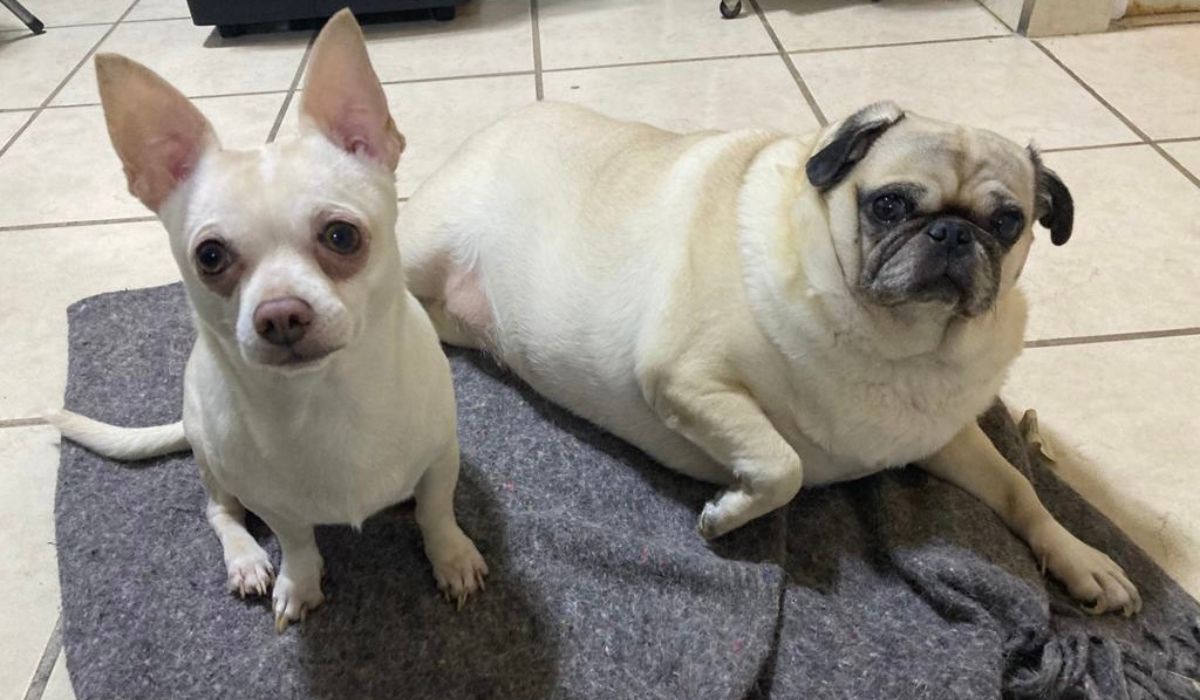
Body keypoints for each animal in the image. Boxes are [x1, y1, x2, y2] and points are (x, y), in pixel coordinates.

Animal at [49, 9, 487, 631]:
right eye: (210, 256)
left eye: (341, 236)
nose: (280, 315)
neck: (328, 397)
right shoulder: (275, 503)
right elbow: (297, 541)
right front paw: (298, 584)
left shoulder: (441, 458)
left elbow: (436, 510)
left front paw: (451, 557)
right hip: (212, 456)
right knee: (219, 513)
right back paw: (247, 560)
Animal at [398, 101, 1140, 615]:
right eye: (889, 204)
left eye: (1008, 223)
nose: (953, 233)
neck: (898, 343)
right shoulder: (684, 379)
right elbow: (783, 466)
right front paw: (727, 513)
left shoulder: (945, 437)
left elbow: (1019, 488)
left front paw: (1080, 558)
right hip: (420, 247)